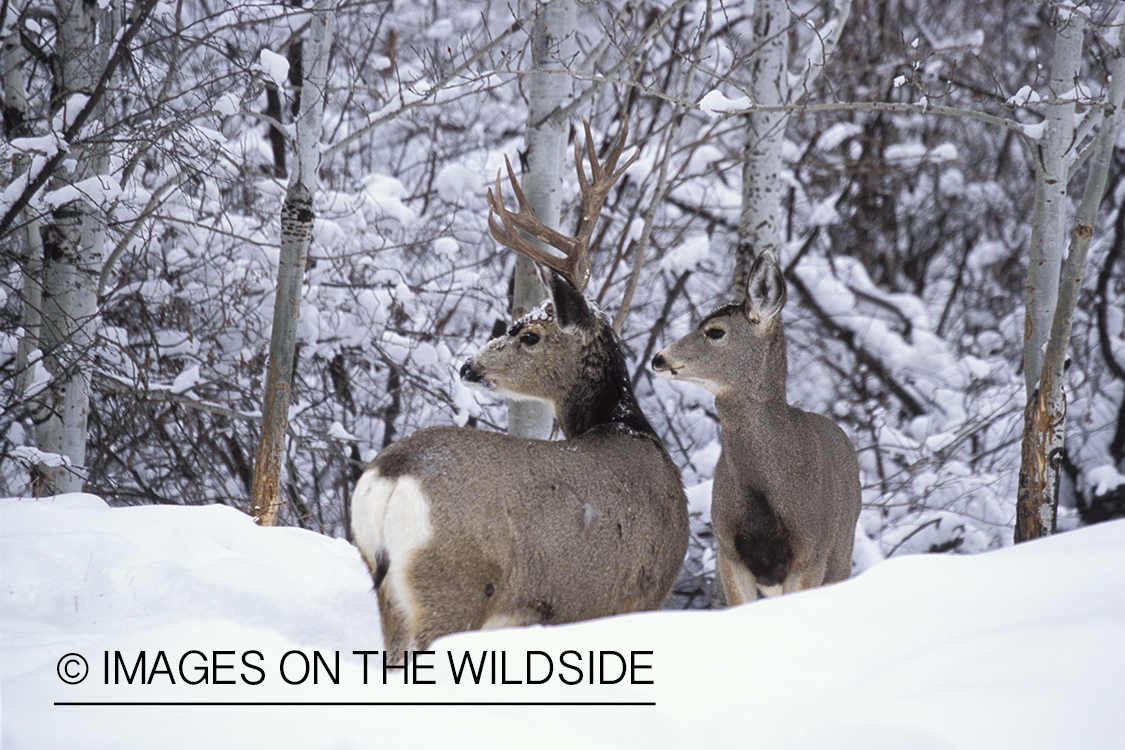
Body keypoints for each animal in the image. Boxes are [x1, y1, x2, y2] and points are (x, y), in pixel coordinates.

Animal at [350, 119, 689, 657]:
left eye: (529, 333)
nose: (468, 366)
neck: (629, 429)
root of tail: (390, 475)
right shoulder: (635, 594)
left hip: (389, 594)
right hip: (455, 582)